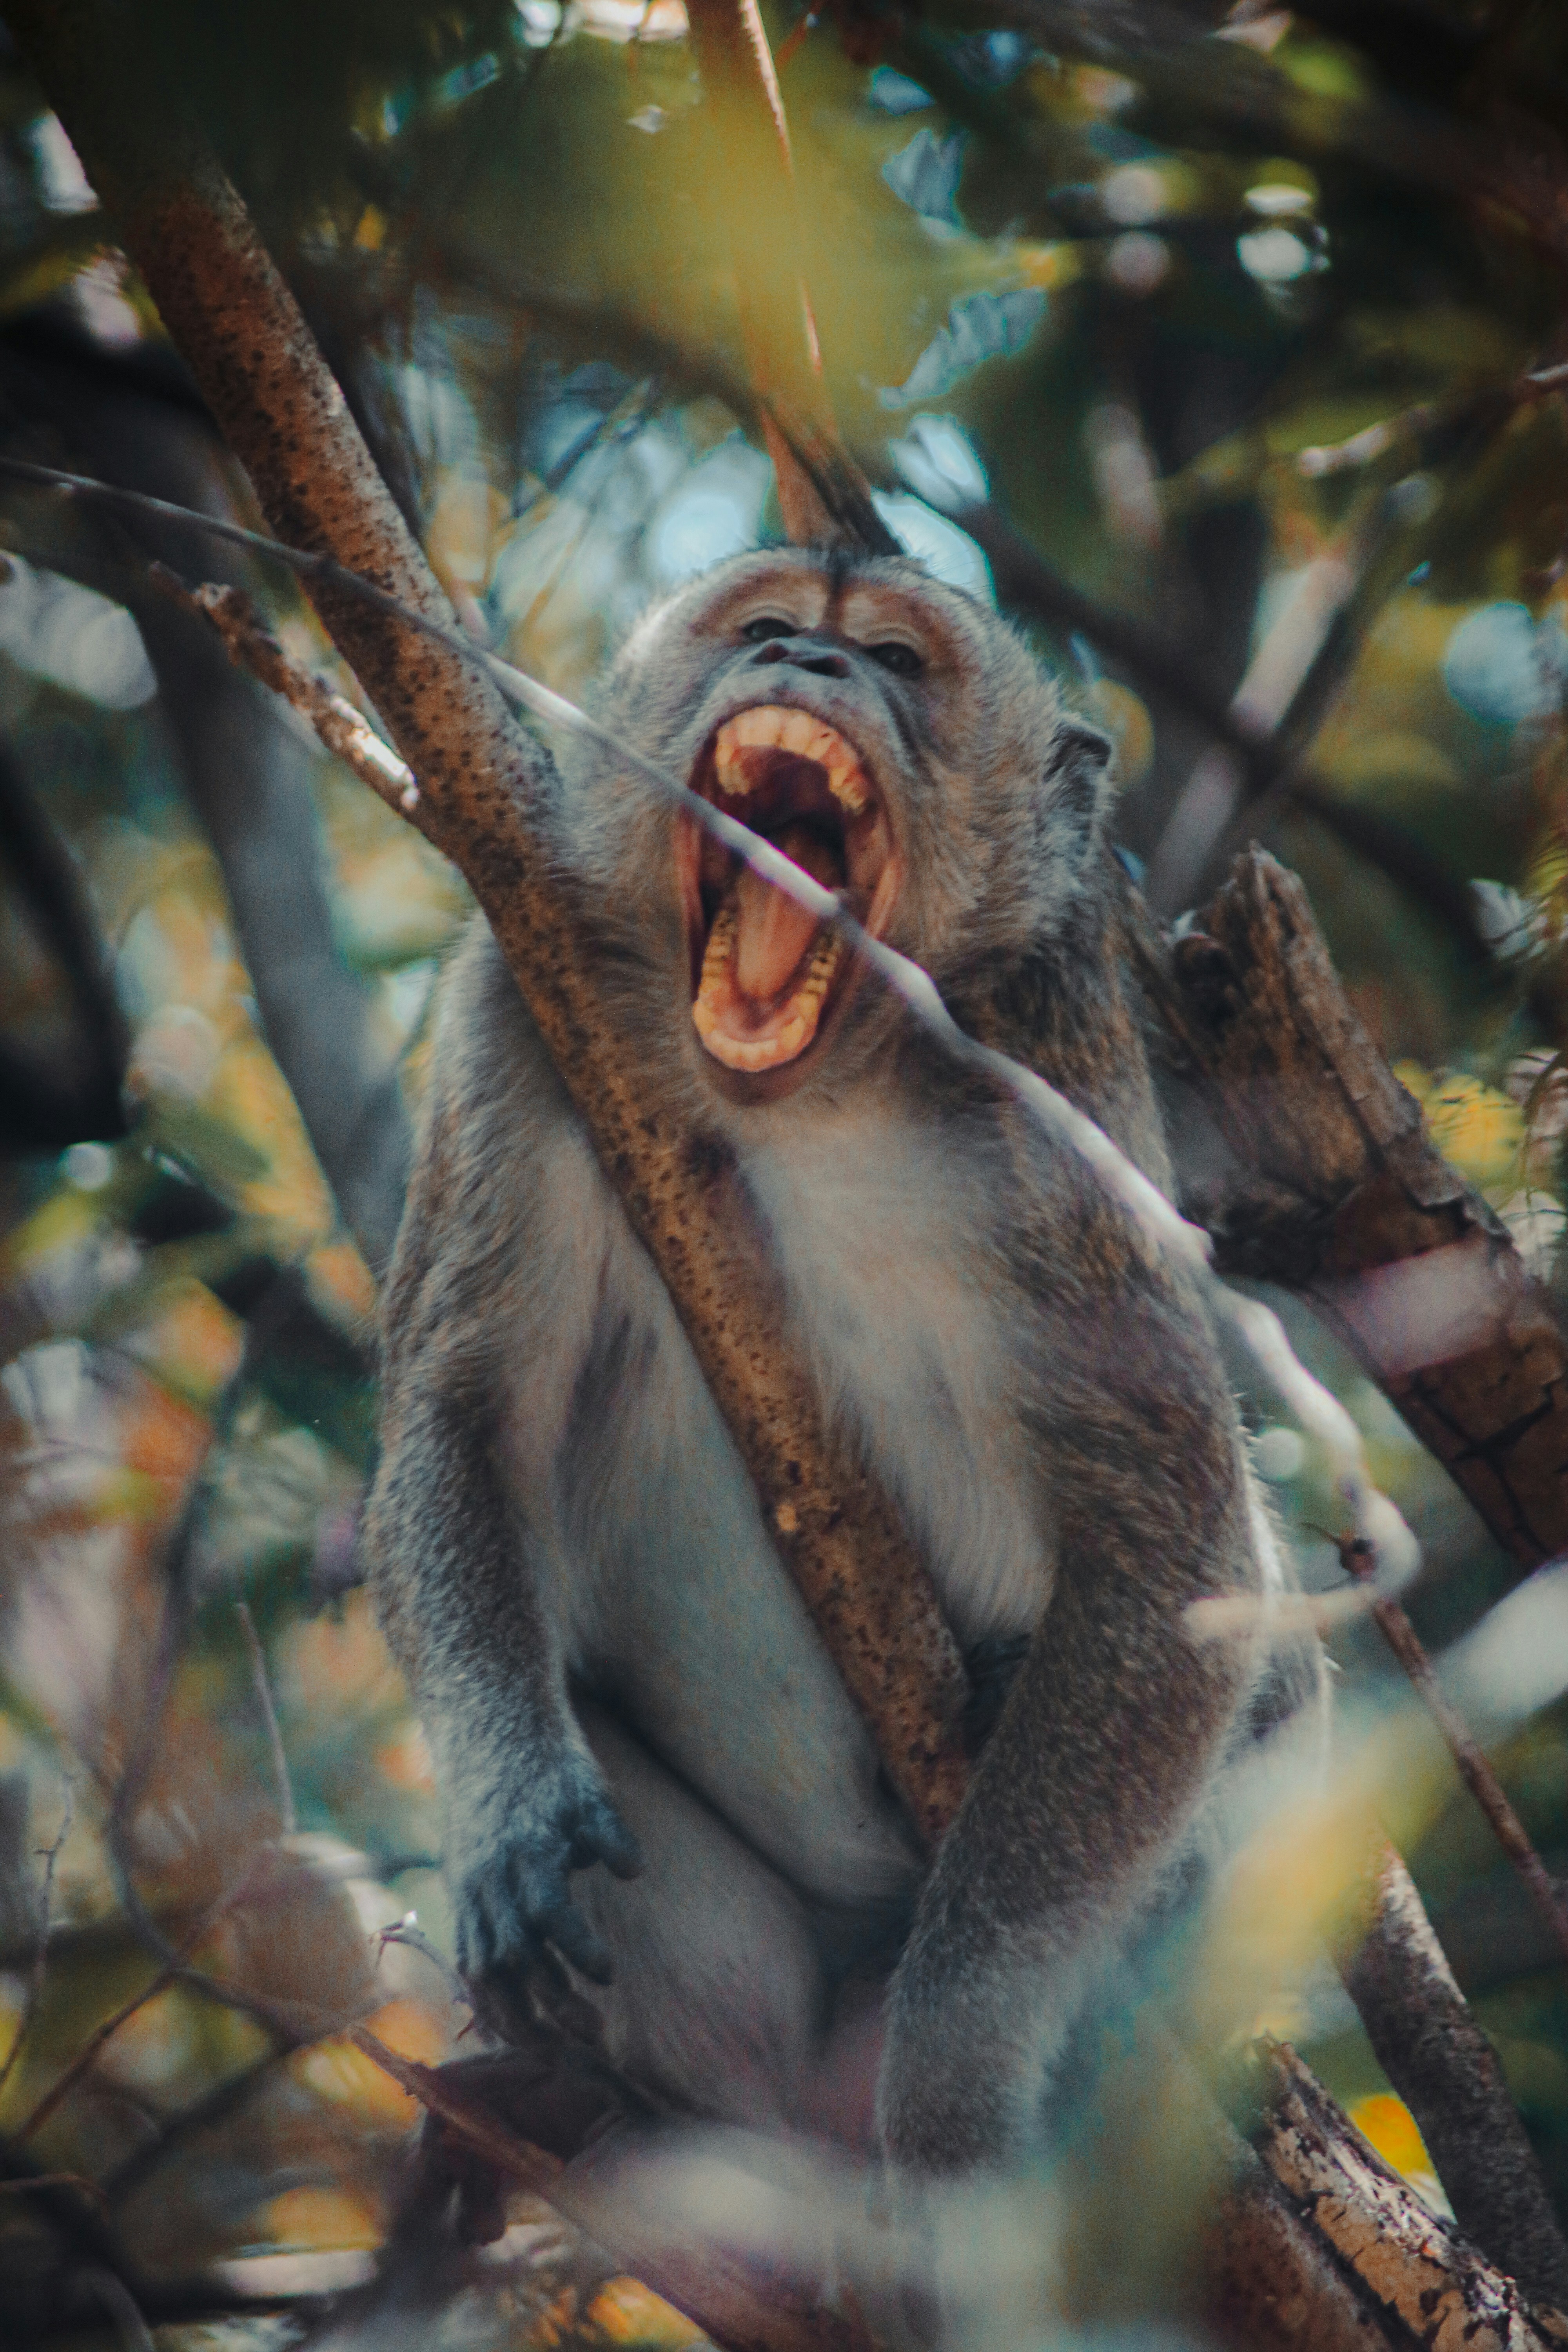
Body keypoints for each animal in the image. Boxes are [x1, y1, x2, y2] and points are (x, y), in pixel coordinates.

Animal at [362, 545, 1324, 2176]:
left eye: (894, 662)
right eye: (764, 630)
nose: (809, 662)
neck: (813, 1091)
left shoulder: (1048, 1111)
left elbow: (1179, 1556)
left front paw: (950, 2083)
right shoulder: (519, 1001)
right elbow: (464, 1412)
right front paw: (515, 1810)